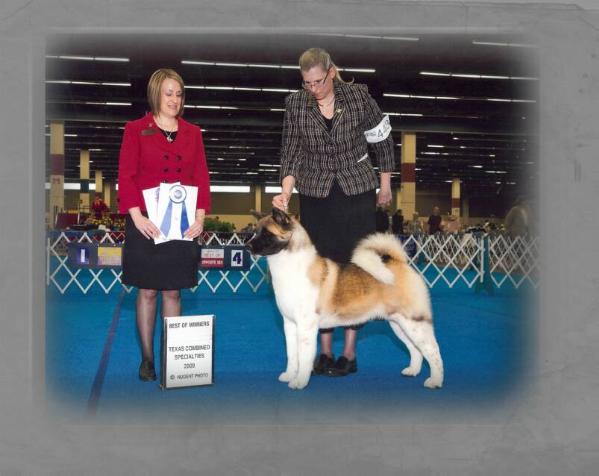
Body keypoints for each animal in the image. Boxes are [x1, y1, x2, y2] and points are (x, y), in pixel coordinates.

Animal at [246, 208, 442, 390]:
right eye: (256, 231)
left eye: (267, 234)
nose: (247, 246)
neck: (291, 266)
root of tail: (400, 264)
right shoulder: (290, 324)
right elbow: (292, 355)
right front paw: (289, 375)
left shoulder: (305, 326)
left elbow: (304, 356)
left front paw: (300, 382)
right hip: (399, 324)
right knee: (415, 349)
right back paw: (412, 371)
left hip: (414, 322)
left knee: (433, 351)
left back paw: (435, 381)